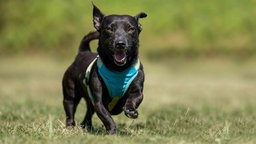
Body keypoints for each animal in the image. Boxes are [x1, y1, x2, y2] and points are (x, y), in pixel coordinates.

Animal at [61, 3, 146, 134]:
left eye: (131, 29)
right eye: (109, 29)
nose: (120, 43)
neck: (118, 70)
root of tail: (82, 53)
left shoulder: (137, 91)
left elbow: (134, 98)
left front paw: (130, 110)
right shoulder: (99, 102)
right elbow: (106, 117)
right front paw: (112, 131)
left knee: (88, 114)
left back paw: (86, 126)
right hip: (70, 95)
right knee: (70, 111)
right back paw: (70, 127)